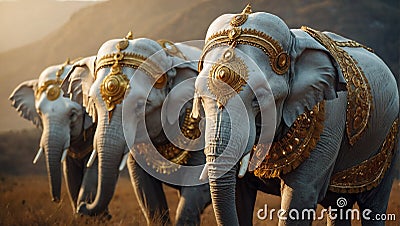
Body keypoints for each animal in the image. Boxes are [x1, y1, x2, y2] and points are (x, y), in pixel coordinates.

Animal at [8, 58, 102, 215]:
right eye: (39, 113)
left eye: (72, 115)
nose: (56, 200)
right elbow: (70, 174)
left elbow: (92, 171)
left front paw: (86, 211)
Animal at [66, 32, 214, 225]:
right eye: (93, 102)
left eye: (139, 106)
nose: (82, 206)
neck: (169, 56)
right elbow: (144, 188)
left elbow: (198, 186)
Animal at [192, 4, 398, 226]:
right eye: (201, 98)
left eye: (259, 99)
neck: (293, 44)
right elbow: (239, 197)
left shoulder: (330, 122)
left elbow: (299, 196)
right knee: (338, 206)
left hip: (390, 141)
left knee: (375, 204)